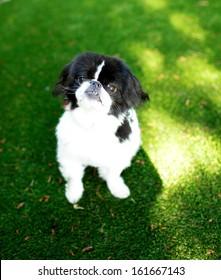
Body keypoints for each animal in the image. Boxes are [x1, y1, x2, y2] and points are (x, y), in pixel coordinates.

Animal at [53, 53, 149, 203]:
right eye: (82, 79)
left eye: (112, 88)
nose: (95, 83)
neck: (93, 121)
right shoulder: (68, 155)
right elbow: (74, 177)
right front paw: (74, 193)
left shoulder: (120, 156)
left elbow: (113, 175)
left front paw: (117, 189)